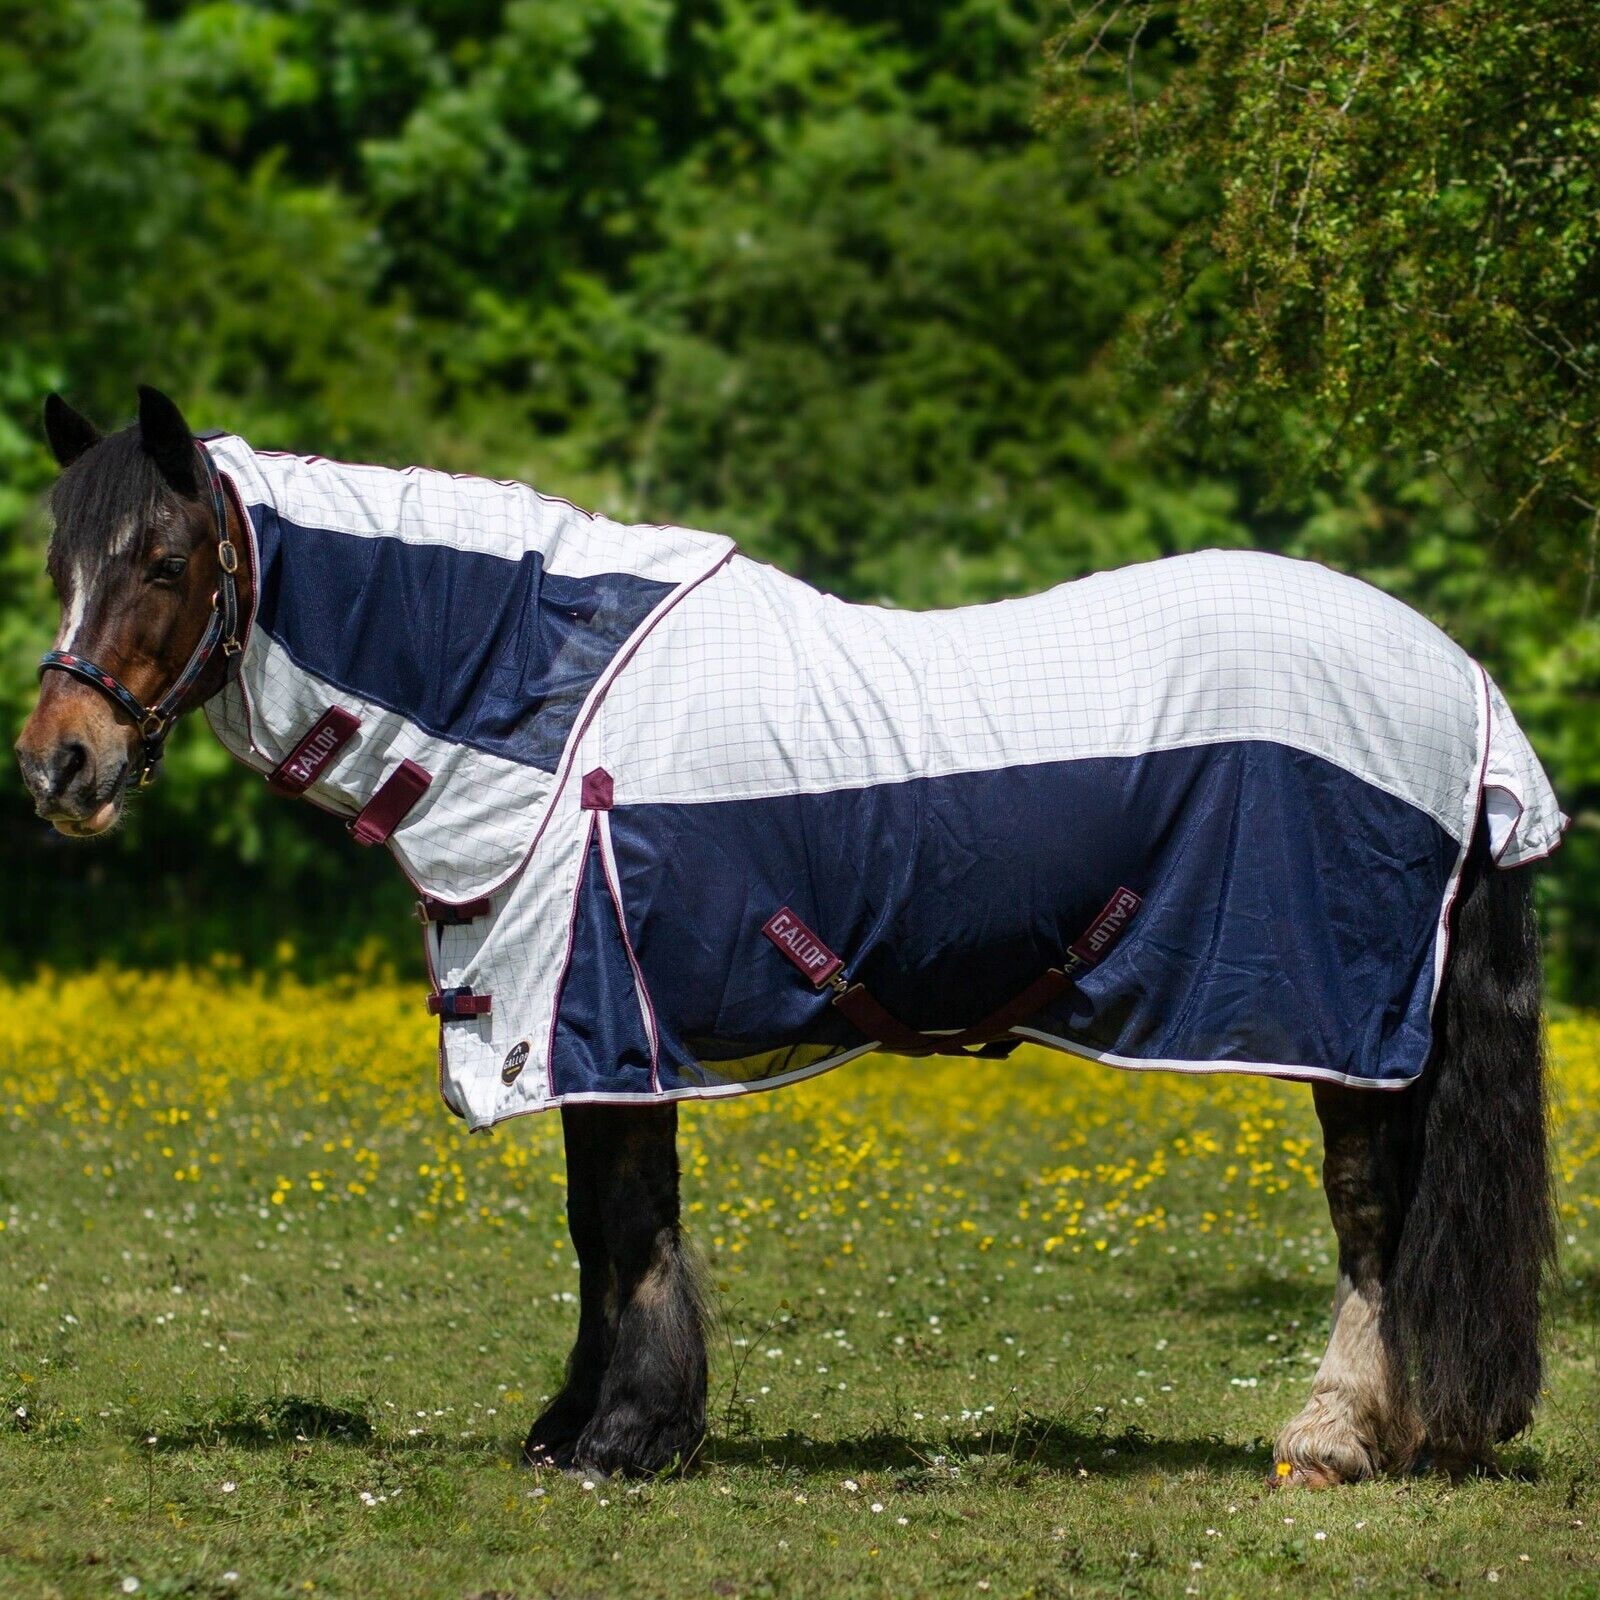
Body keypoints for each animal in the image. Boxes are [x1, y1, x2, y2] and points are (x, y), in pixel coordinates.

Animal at [15, 387, 1562, 1486]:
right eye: (57, 562)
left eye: (165, 559)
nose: (58, 766)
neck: (545, 704)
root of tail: (1463, 686)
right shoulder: (581, 1035)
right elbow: (596, 1226)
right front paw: (577, 1424)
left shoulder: (605, 1015)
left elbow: (627, 1222)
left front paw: (624, 1438)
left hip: (1346, 1021)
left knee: (1372, 1217)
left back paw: (1335, 1435)